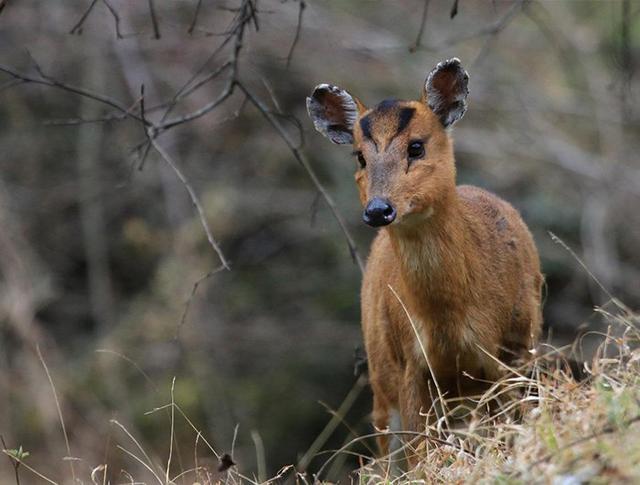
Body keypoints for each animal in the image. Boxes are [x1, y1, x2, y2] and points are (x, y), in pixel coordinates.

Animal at [304, 58, 540, 452]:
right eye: (360, 156)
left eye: (416, 147)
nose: (378, 210)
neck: (449, 319)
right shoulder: (410, 364)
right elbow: (420, 451)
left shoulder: (507, 354)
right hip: (381, 380)